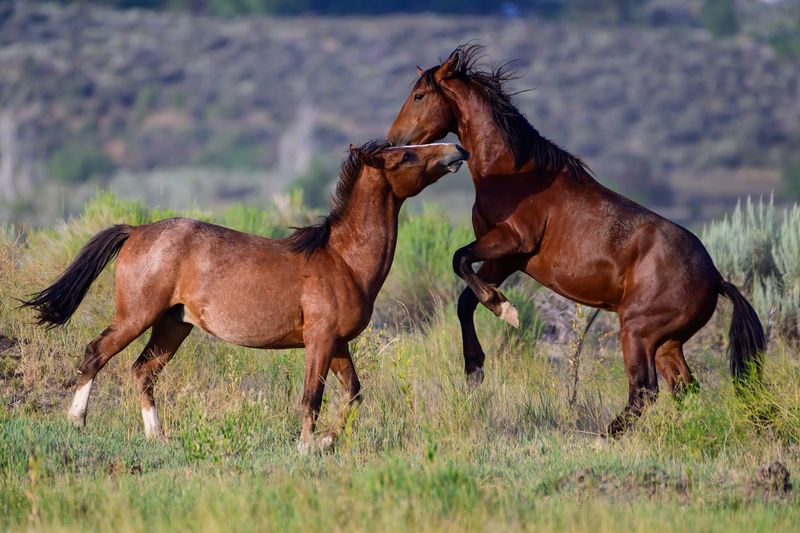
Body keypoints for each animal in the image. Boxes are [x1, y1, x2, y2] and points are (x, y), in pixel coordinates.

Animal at [21, 140, 469, 451]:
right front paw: (306, 447)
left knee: (143, 371)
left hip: (172, 325)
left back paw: (158, 436)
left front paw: (326, 441)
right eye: (406, 155)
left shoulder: (338, 342)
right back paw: (77, 421)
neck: (342, 259)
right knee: (96, 353)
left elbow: (353, 393)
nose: (457, 150)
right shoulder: (320, 340)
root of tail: (137, 230)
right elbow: (312, 397)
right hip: (137, 315)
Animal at [387, 44, 764, 436]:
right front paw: (475, 367)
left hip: (638, 331)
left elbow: (459, 260)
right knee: (683, 387)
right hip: (667, 343)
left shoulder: (512, 241)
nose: (394, 142)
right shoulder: (504, 258)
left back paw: (603, 438)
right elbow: (464, 299)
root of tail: (716, 278)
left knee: (645, 389)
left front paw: (506, 311)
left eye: (419, 95)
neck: (516, 174)